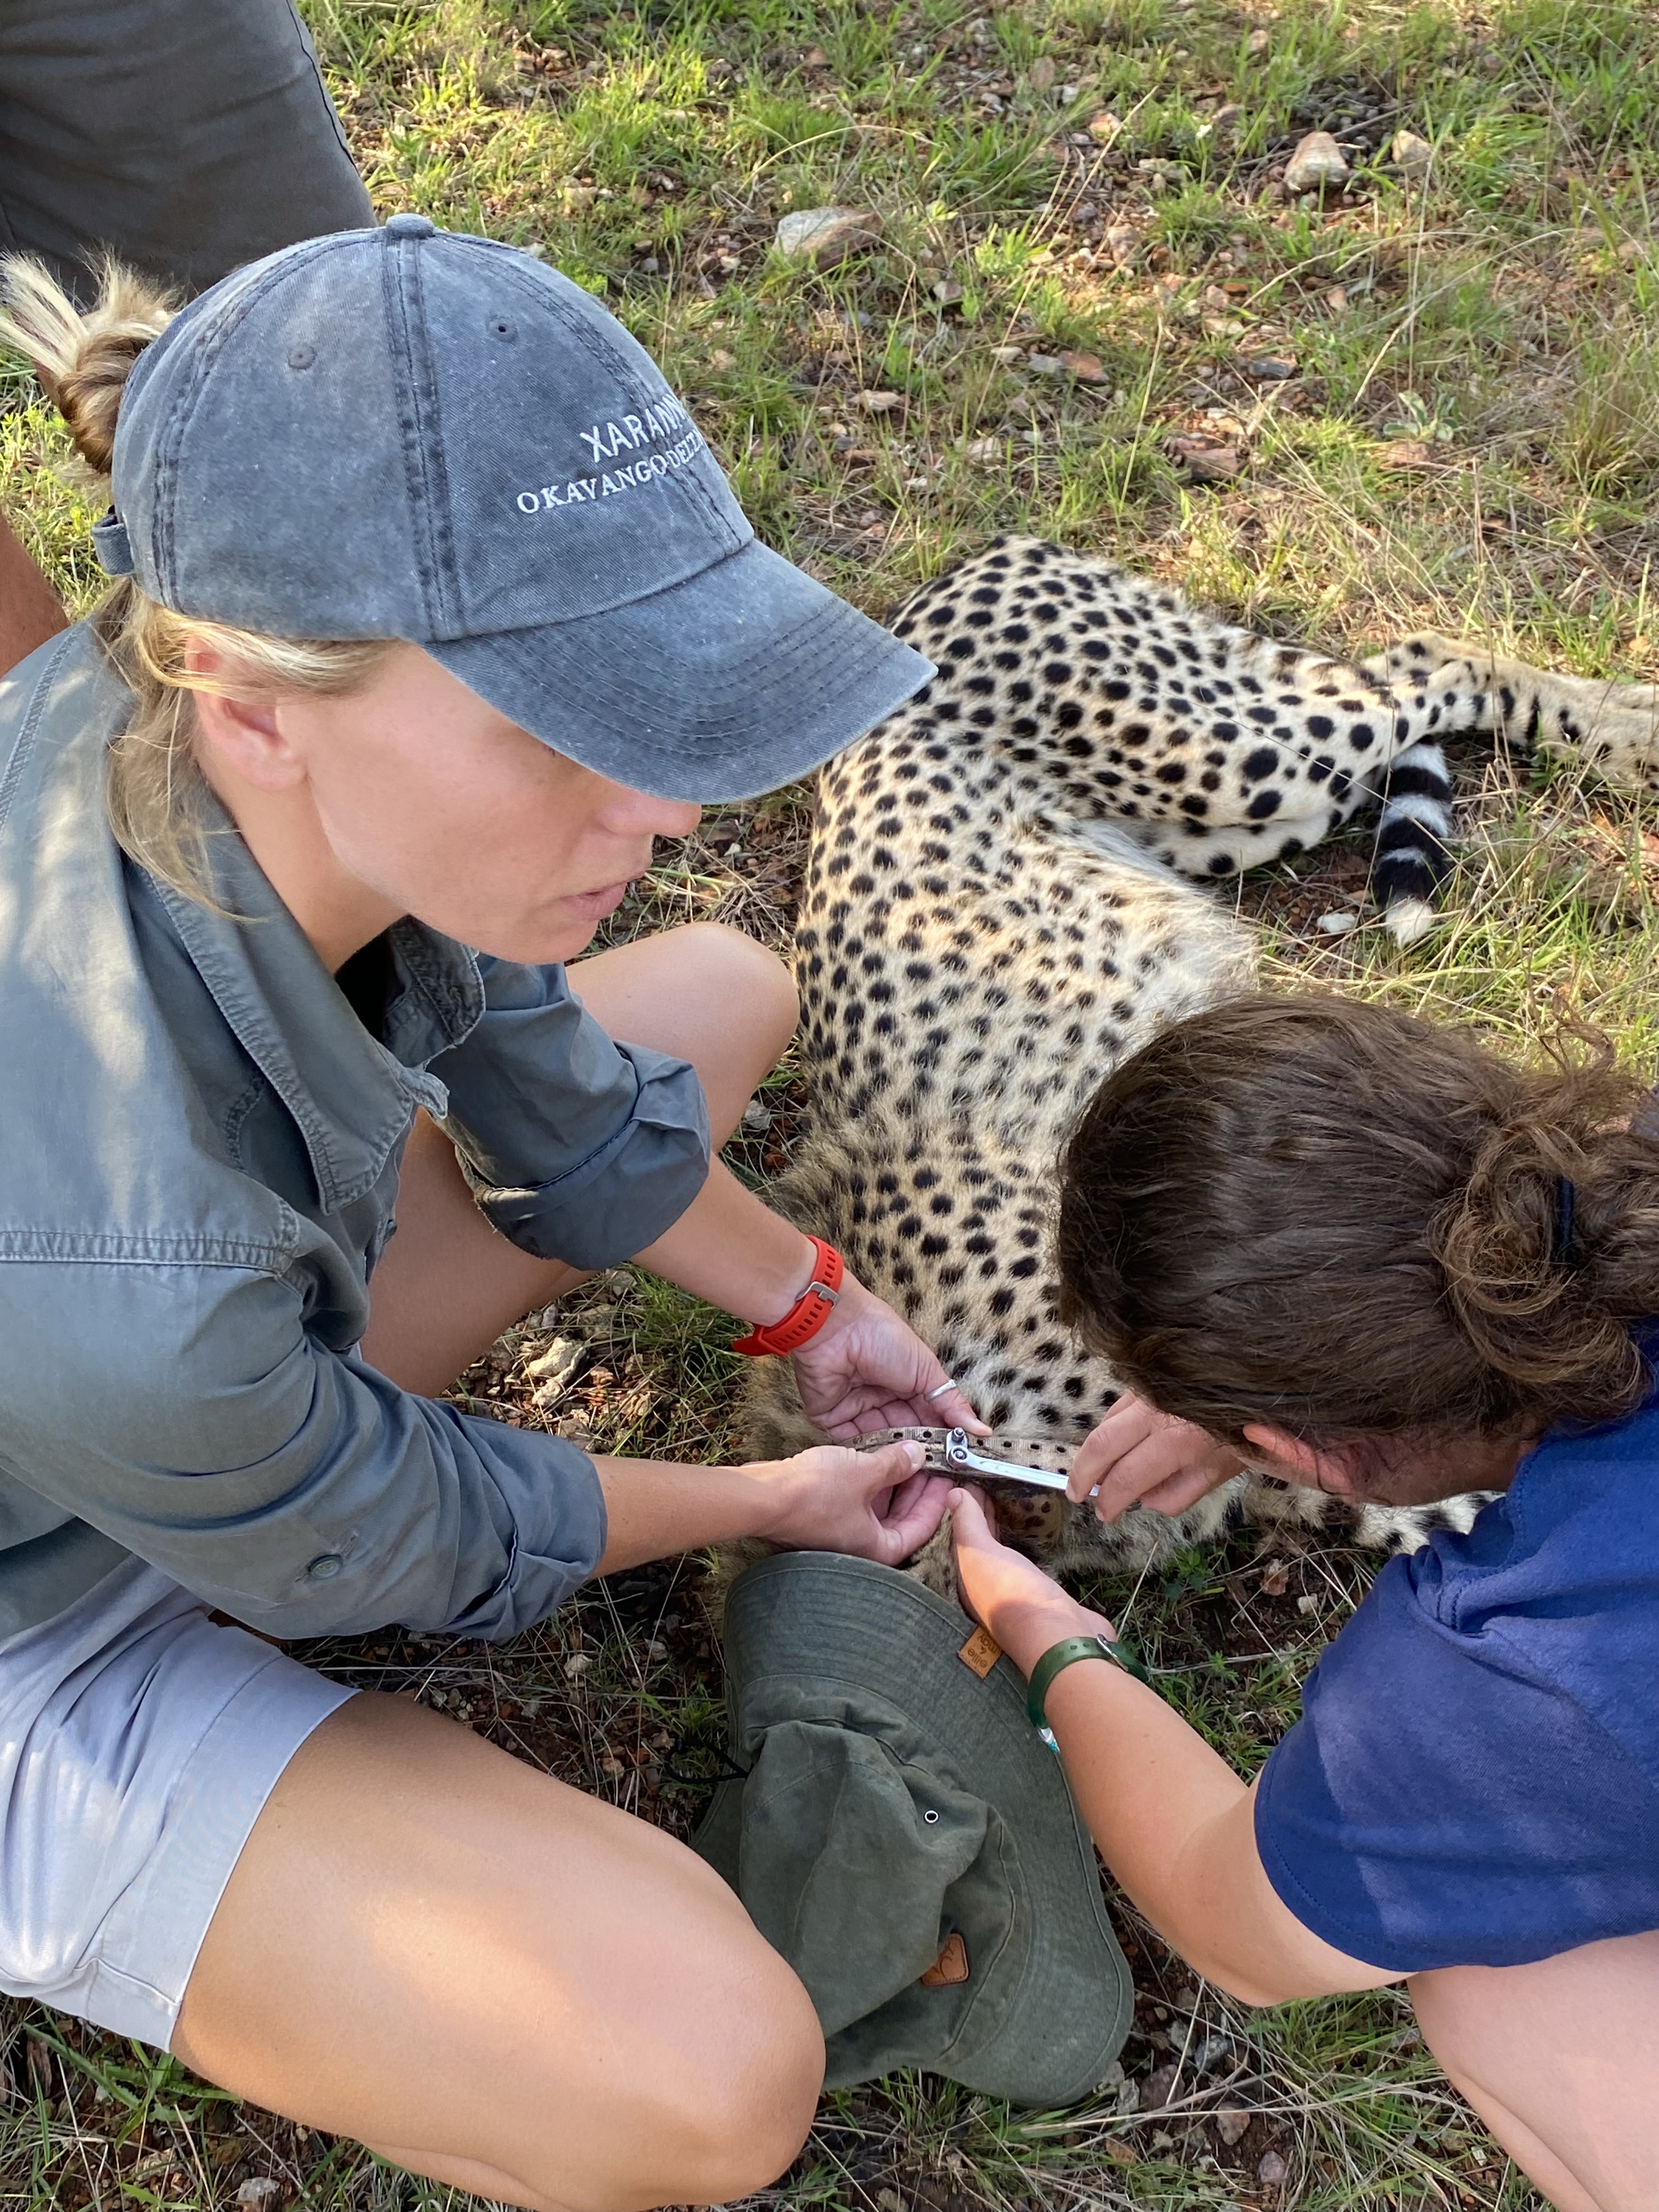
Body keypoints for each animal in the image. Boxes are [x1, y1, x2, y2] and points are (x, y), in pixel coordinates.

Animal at [742, 535, 1659, 1579]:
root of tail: (962, 568)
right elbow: (1420, 1508)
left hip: (1231, 763)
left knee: (1429, 668)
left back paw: (1634, 734)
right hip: (1241, 820)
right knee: (1398, 680)